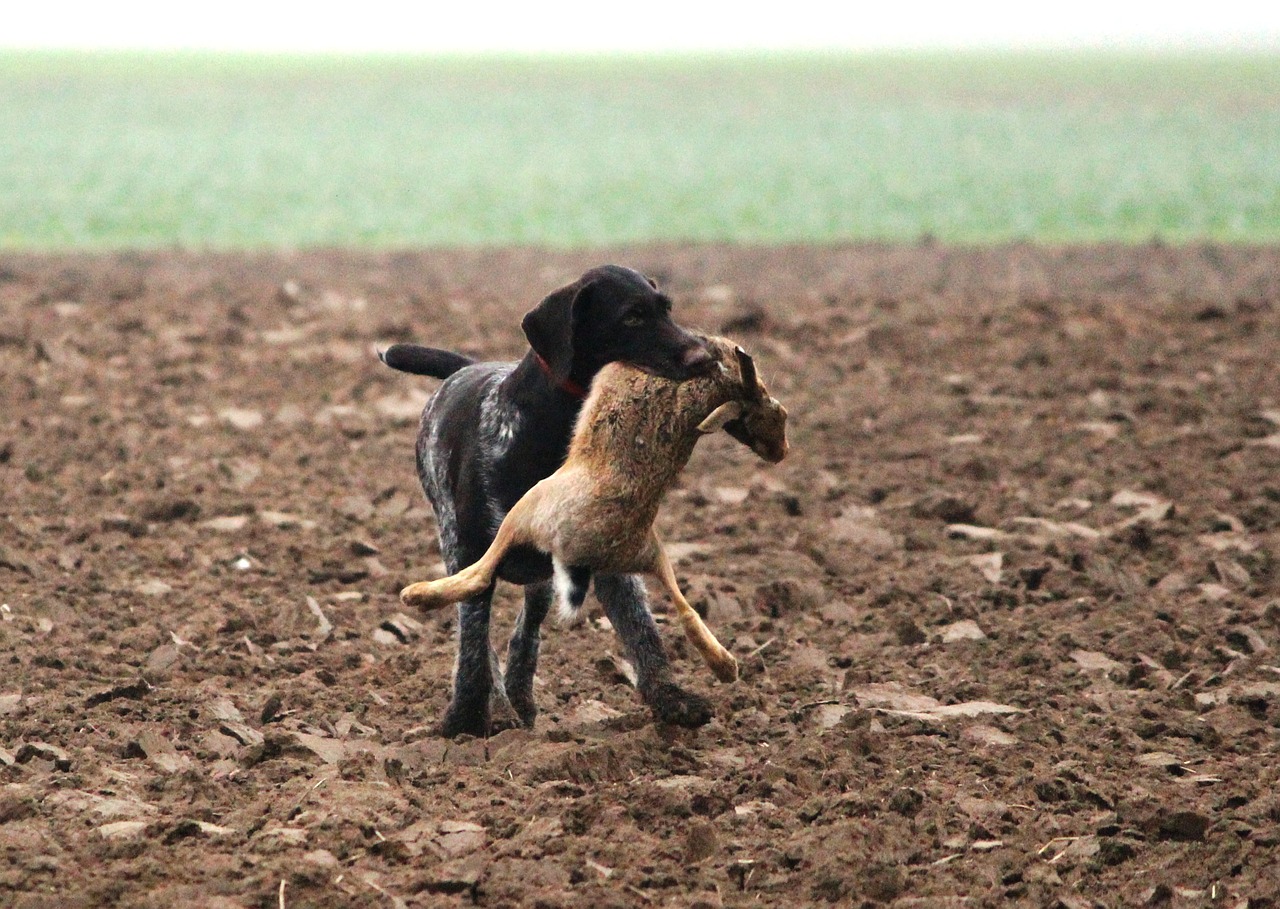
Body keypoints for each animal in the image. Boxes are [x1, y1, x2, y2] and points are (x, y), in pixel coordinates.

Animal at [378, 265, 721, 742]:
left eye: (666, 309)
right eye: (632, 317)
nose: (706, 357)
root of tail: (466, 369)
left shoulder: (607, 556)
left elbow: (642, 631)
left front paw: (671, 698)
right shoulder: (471, 553)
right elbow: (473, 644)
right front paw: (465, 718)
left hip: (536, 575)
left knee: (527, 629)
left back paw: (519, 697)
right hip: (451, 539)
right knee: (478, 631)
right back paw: (498, 704)